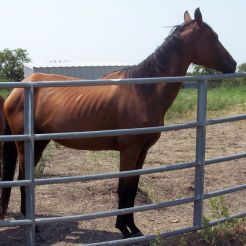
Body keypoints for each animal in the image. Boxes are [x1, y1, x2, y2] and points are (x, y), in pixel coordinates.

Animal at [0, 9, 236, 238]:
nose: (233, 65)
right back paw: (34, 228)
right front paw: (124, 228)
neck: (143, 91)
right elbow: (124, 188)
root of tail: (18, 89)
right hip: (25, 145)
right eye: (214, 37)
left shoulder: (142, 151)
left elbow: (133, 187)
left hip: (39, 143)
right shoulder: (129, 150)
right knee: (23, 179)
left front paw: (133, 227)